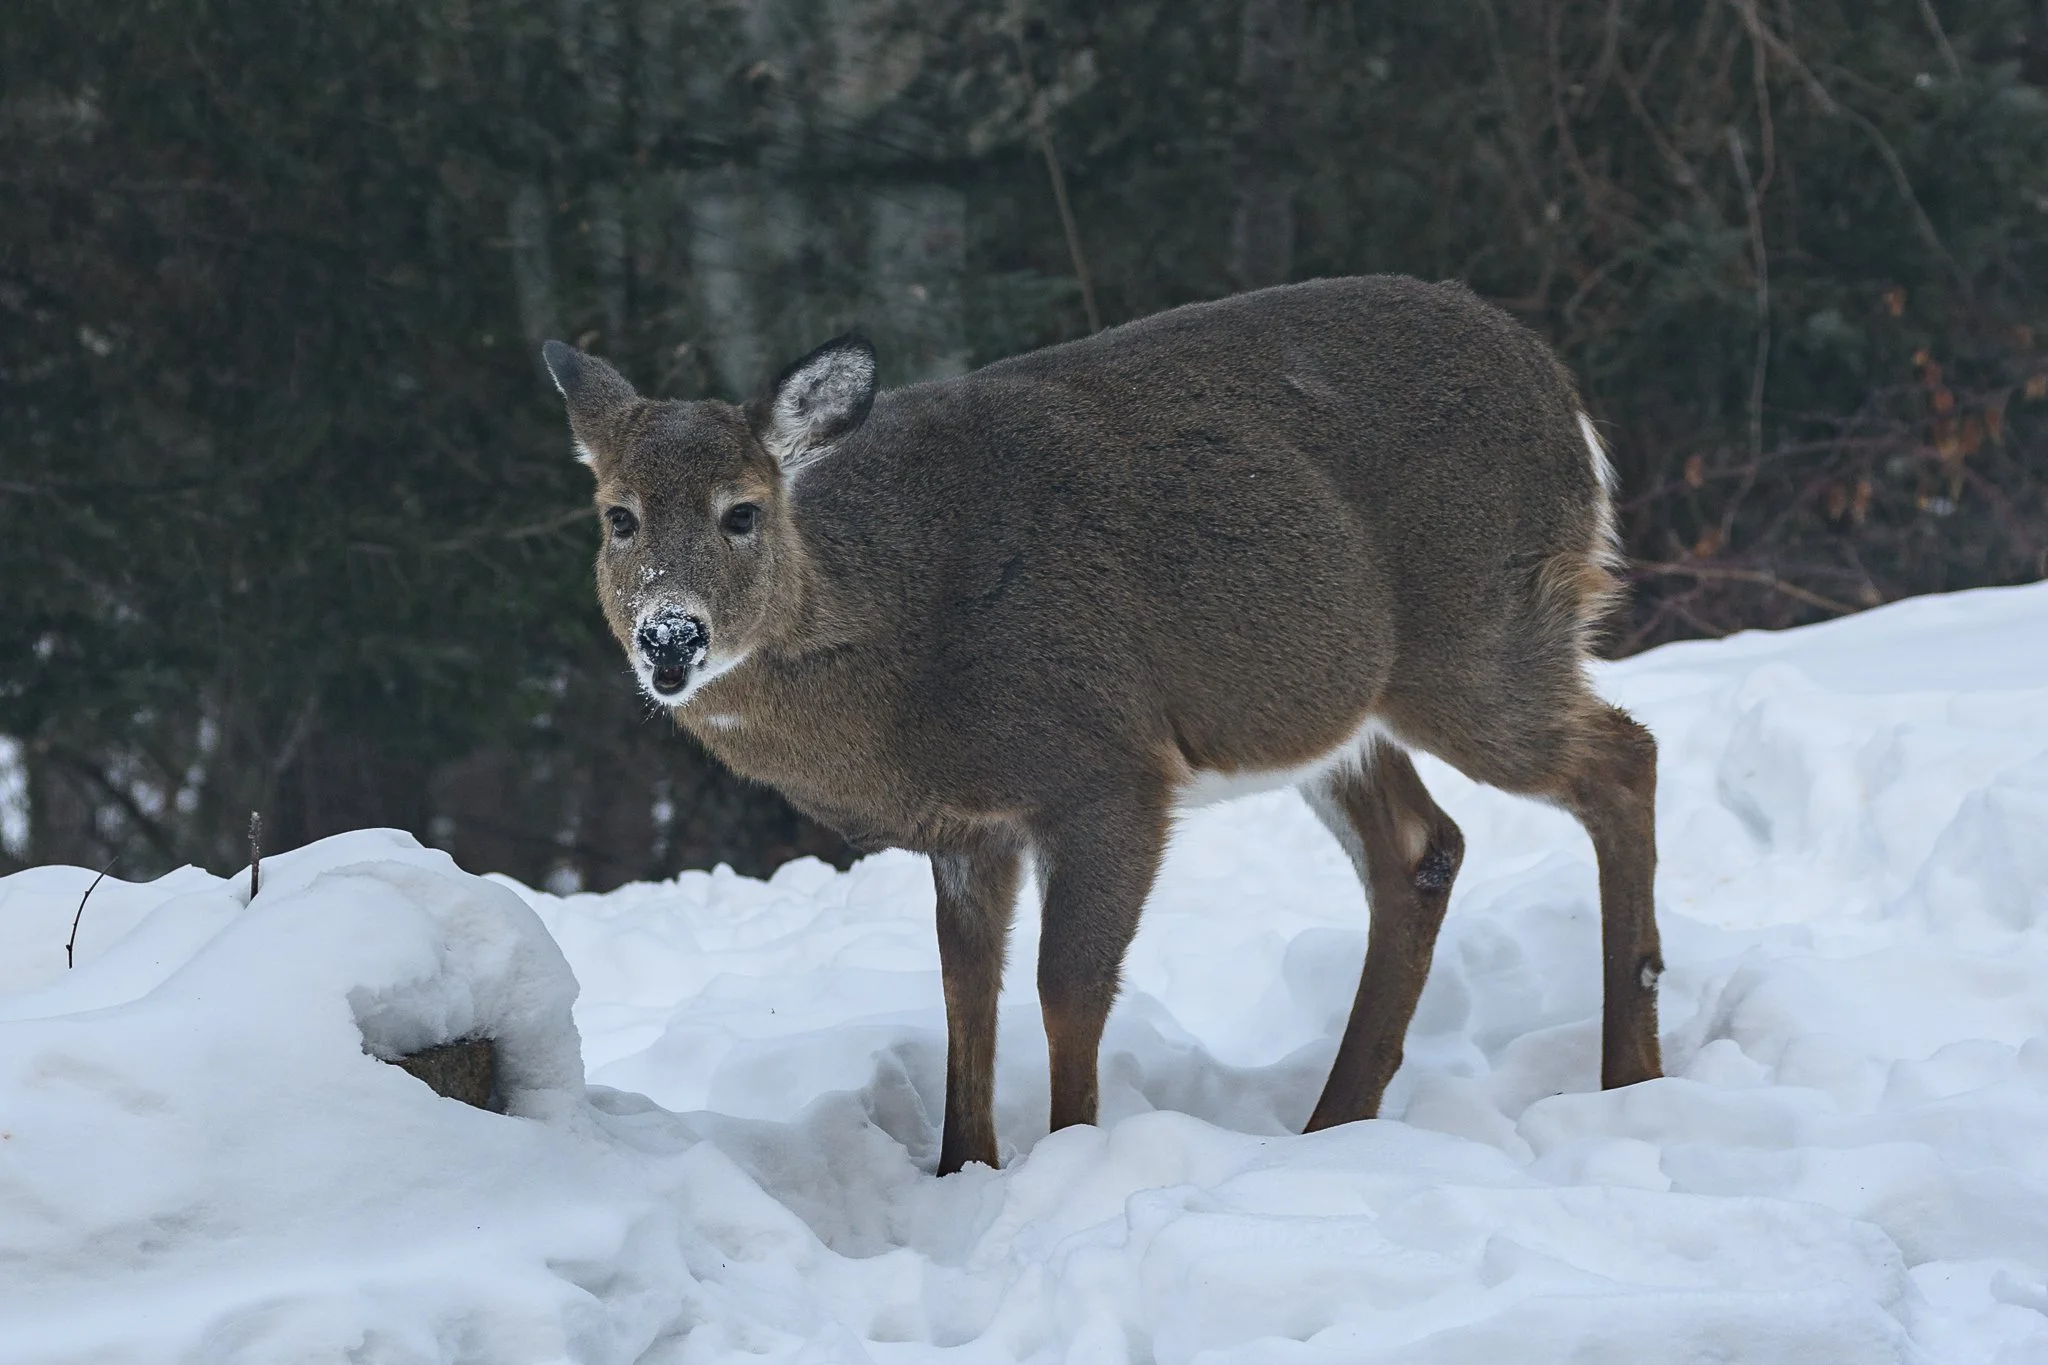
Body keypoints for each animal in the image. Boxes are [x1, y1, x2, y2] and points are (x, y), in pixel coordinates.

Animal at [540, 275, 1663, 1176]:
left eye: (741, 510)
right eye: (618, 516)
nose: (671, 635)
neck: (907, 644)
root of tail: (1568, 404)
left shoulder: (1104, 770)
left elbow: (1065, 987)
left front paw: (1069, 1158)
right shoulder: (970, 830)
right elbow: (965, 995)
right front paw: (964, 1171)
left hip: (1478, 639)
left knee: (1625, 758)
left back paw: (1630, 1078)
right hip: (1333, 708)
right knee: (1423, 847)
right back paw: (1334, 1125)